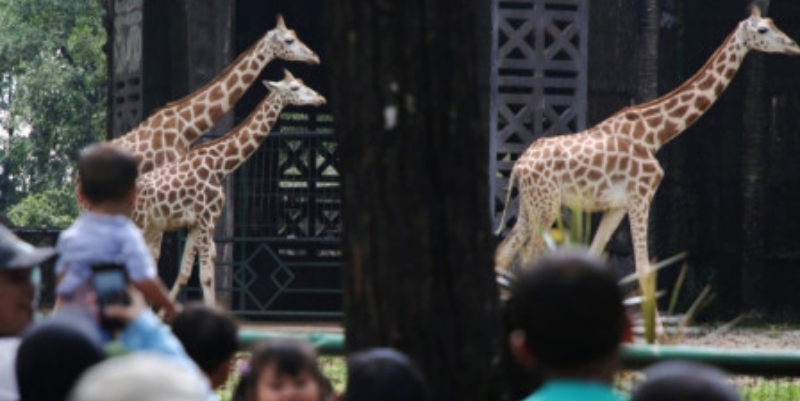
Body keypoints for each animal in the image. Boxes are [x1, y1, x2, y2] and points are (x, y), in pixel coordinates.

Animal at [133, 70, 326, 304]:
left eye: (302, 82)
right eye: (294, 88)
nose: (320, 98)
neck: (220, 165)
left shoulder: (196, 222)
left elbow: (185, 273)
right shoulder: (208, 217)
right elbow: (206, 276)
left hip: (149, 226)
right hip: (139, 222)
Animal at [496, 5, 796, 288]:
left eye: (773, 22)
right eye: (762, 30)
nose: (794, 46)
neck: (654, 134)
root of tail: (519, 165)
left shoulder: (617, 205)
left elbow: (595, 255)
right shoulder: (641, 195)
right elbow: (643, 269)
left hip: (530, 205)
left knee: (503, 252)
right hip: (546, 206)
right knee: (526, 257)